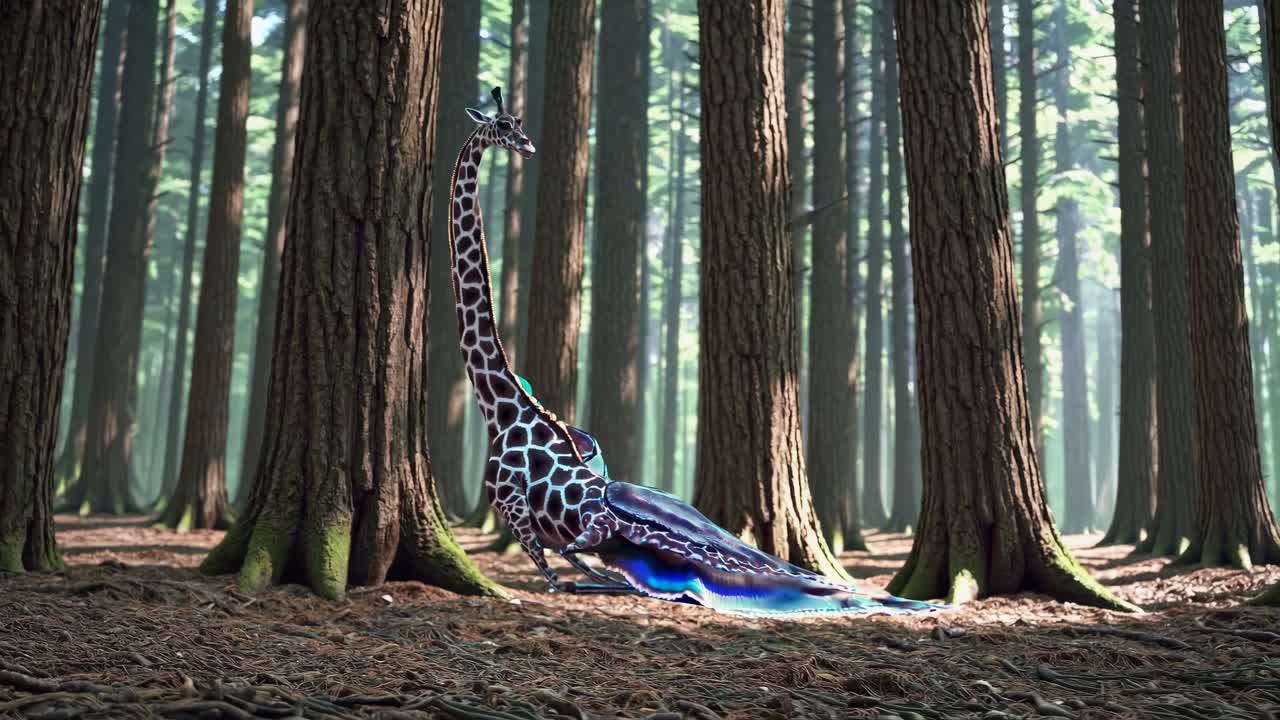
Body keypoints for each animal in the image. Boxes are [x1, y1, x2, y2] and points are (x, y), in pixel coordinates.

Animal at [449, 88, 948, 615]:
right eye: (505, 125)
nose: (527, 146)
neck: (499, 409)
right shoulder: (528, 500)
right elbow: (560, 563)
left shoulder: (512, 502)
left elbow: (557, 567)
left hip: (605, 522)